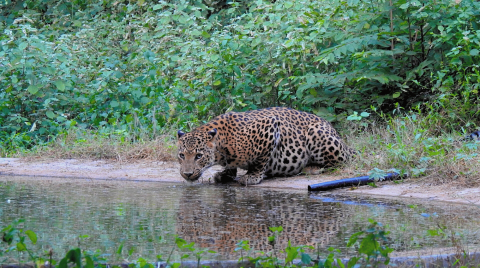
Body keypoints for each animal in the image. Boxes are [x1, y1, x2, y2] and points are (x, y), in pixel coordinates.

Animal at [177, 105, 356, 185]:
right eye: (181, 155)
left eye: (199, 156)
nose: (187, 174)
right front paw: (226, 174)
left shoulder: (270, 125)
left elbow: (261, 160)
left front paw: (252, 176)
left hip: (318, 134)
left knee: (342, 161)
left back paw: (312, 167)